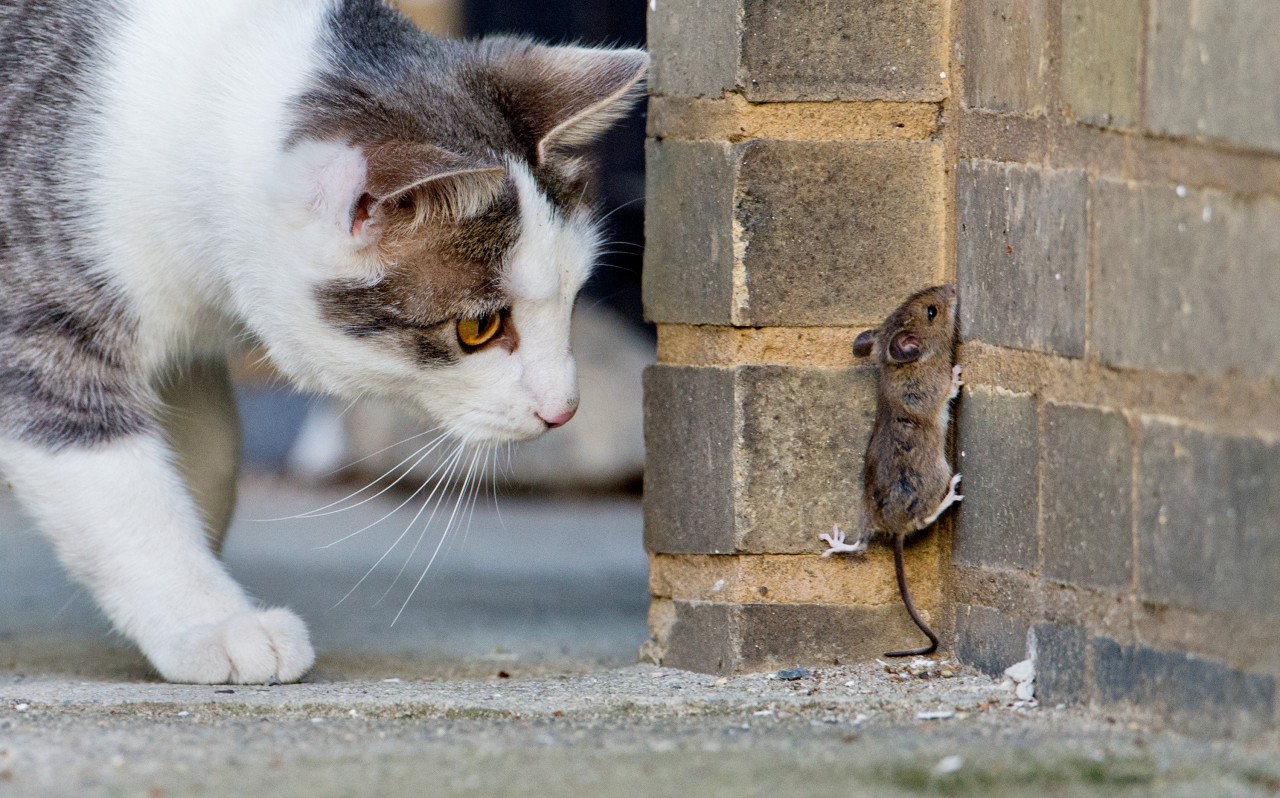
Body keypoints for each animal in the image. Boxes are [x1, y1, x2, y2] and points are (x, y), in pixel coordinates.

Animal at [0, 0, 640, 686]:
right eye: (479, 328)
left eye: (573, 296)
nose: (564, 409)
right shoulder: (35, 332)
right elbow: (121, 491)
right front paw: (214, 623)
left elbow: (213, 453)